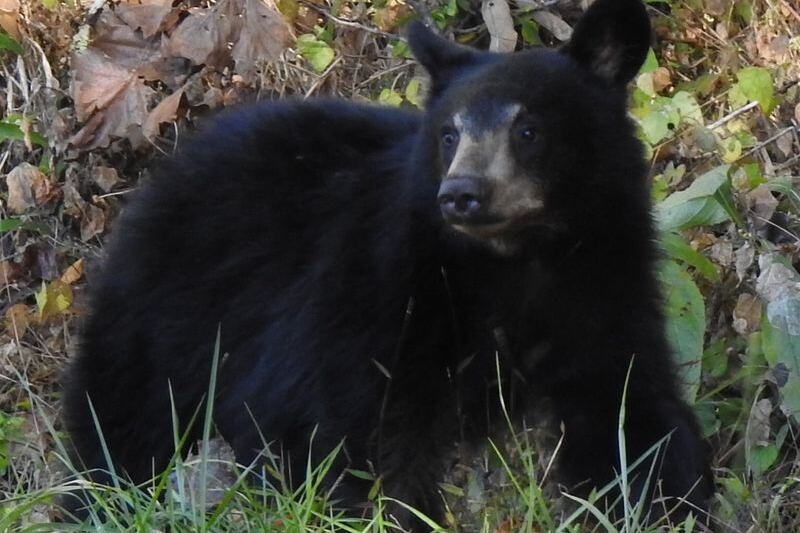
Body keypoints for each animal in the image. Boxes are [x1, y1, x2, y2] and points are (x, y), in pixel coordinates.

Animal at [62, 0, 712, 527]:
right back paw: (102, 496)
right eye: (448, 134)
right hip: (172, 305)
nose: (461, 194)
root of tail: (168, 168)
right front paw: (394, 512)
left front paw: (671, 499)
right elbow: (342, 421)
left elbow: (628, 406)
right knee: (128, 411)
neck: (514, 261)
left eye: (528, 129)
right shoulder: (381, 284)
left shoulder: (603, 283)